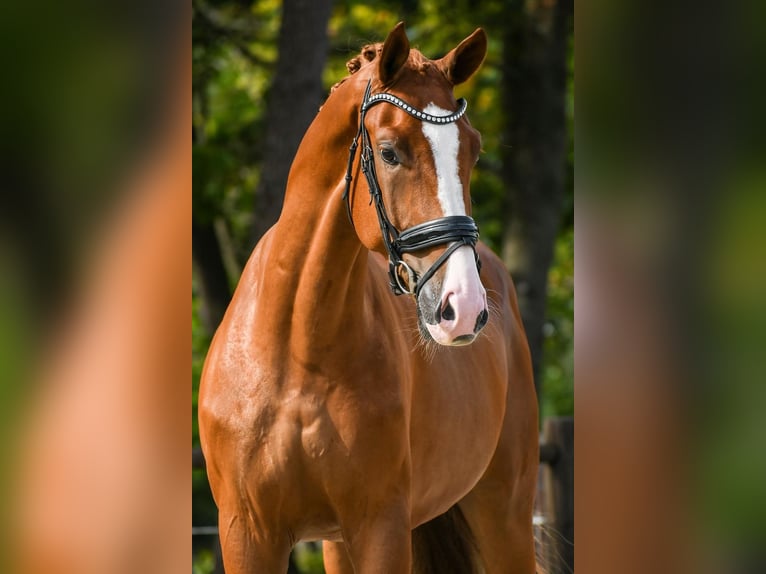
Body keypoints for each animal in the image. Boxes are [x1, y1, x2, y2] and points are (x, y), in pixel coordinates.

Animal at [198, 22, 539, 574]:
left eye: (473, 150)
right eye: (389, 151)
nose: (464, 307)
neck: (296, 348)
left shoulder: (380, 527)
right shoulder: (246, 533)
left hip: (505, 512)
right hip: (339, 543)